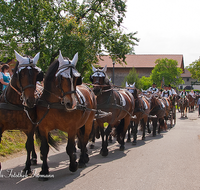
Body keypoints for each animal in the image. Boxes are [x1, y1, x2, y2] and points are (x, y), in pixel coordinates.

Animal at [37, 50, 97, 180]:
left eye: (76, 78)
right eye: (62, 78)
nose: (71, 103)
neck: (55, 104)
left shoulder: (71, 128)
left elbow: (70, 148)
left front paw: (73, 165)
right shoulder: (43, 128)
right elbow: (44, 149)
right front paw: (44, 171)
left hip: (88, 122)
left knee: (85, 139)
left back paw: (82, 160)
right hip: (80, 125)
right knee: (81, 139)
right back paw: (84, 157)